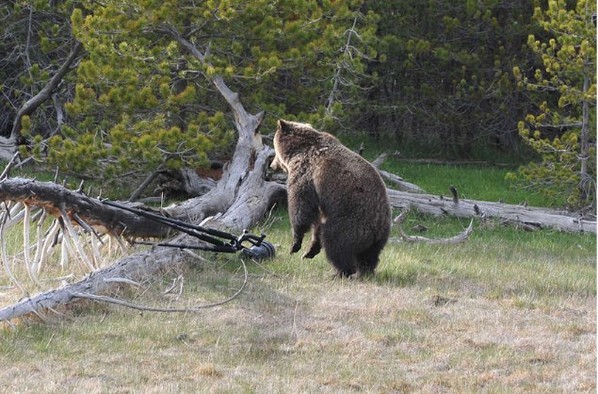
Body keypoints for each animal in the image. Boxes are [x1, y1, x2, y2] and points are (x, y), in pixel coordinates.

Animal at [272, 120, 394, 278]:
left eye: (274, 150)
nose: (272, 164)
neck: (298, 150)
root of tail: (377, 230)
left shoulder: (305, 172)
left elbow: (300, 206)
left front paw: (295, 244)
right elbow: (316, 219)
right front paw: (309, 251)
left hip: (350, 222)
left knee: (335, 242)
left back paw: (341, 271)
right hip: (379, 236)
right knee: (369, 255)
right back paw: (365, 270)